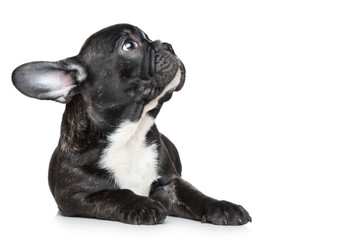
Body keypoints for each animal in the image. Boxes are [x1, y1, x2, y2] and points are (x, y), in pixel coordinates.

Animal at [12, 24, 252, 225]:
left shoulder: (170, 183)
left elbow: (194, 194)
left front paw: (222, 206)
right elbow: (116, 193)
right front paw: (142, 205)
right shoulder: (76, 196)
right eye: (129, 45)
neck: (130, 135)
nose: (168, 45)